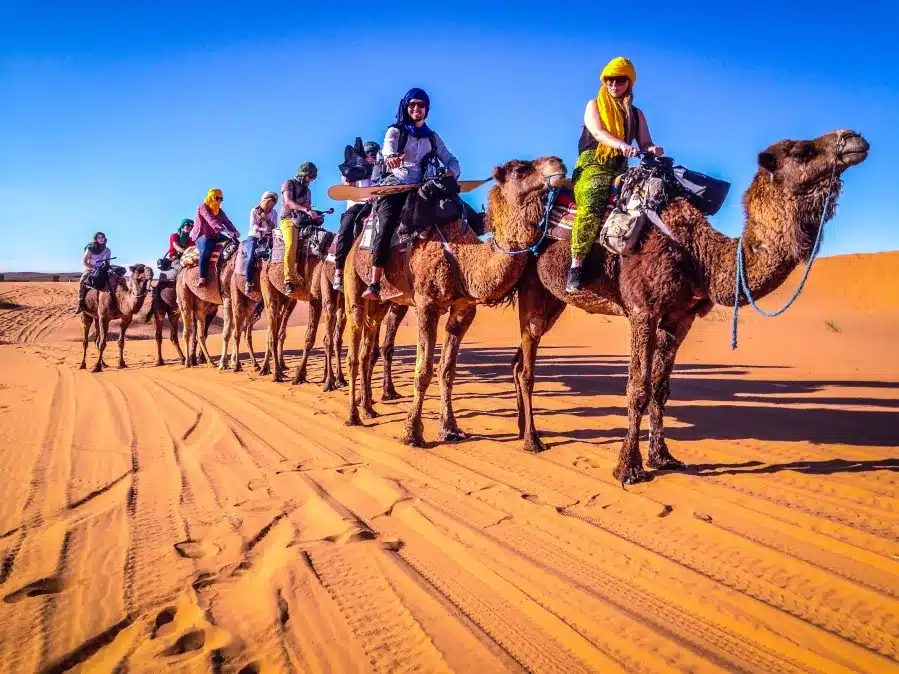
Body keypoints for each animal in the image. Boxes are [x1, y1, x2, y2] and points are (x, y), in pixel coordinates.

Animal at [342, 155, 568, 444]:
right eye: (520, 169)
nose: (558, 163)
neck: (461, 257)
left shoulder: (463, 310)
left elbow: (447, 369)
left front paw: (449, 428)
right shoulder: (426, 304)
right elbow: (423, 370)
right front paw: (411, 433)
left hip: (381, 302)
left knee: (367, 346)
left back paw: (368, 408)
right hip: (353, 284)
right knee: (354, 348)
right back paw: (353, 415)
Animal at [510, 127, 868, 484]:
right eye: (803, 151)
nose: (854, 138)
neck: (697, 255)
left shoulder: (680, 318)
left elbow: (660, 388)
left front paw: (662, 457)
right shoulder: (643, 310)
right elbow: (638, 388)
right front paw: (629, 467)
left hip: (554, 299)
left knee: (519, 360)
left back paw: (522, 430)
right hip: (531, 286)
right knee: (527, 364)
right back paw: (533, 440)